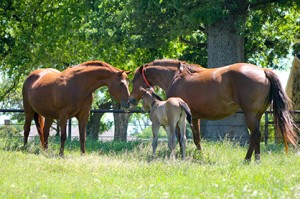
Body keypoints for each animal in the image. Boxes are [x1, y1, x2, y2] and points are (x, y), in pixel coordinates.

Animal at [129, 59, 300, 162]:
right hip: (257, 115)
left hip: (250, 114)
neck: (176, 76)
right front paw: (199, 156)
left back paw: (253, 159)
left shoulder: (182, 120)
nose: (130, 100)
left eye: (133, 80)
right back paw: (249, 159)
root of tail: (263, 71)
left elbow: (181, 138)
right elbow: (195, 139)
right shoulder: (194, 117)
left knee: (255, 135)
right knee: (254, 136)